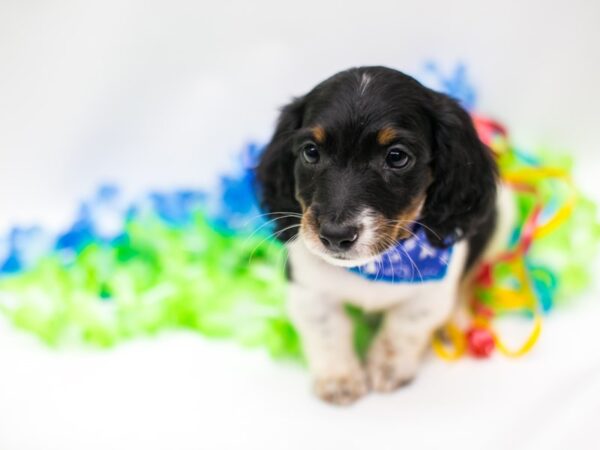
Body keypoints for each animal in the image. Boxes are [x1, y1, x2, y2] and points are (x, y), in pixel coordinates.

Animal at [255, 66, 500, 404]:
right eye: (310, 152)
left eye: (397, 157)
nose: (335, 236)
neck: (376, 265)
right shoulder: (308, 287)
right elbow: (327, 327)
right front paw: (339, 377)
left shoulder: (431, 294)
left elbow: (404, 326)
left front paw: (387, 366)